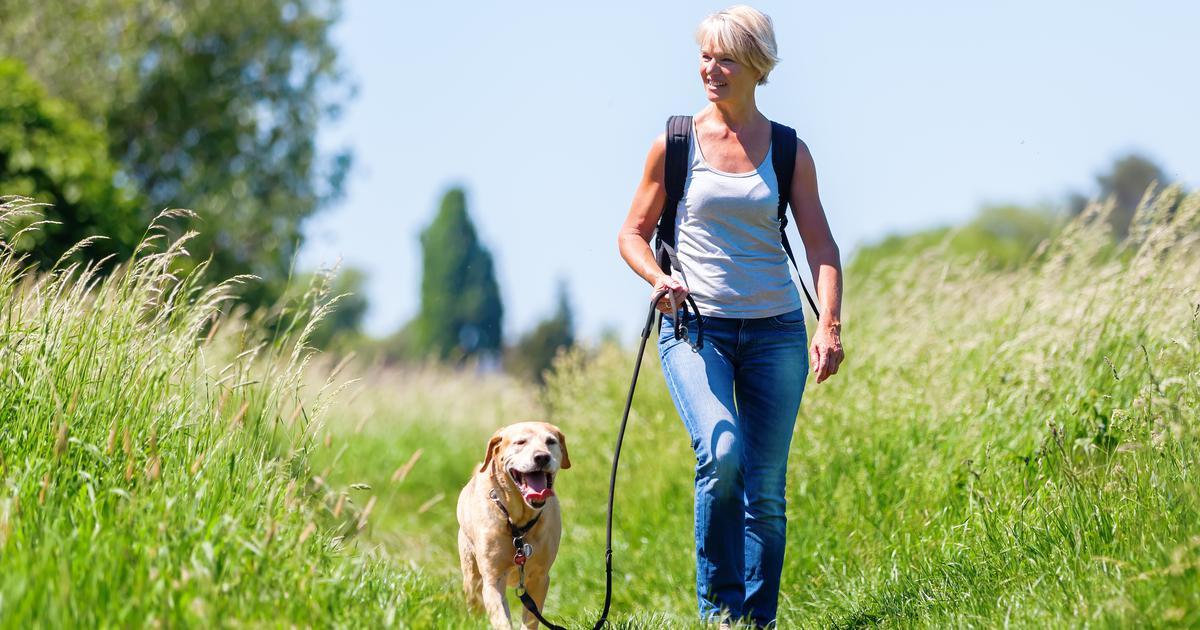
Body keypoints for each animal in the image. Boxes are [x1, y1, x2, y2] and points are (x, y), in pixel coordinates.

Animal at [458, 420, 571, 624]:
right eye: (520, 442)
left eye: (550, 441)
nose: (542, 457)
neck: (518, 523)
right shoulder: (493, 581)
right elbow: (502, 620)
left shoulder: (540, 579)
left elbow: (531, 620)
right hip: (471, 576)